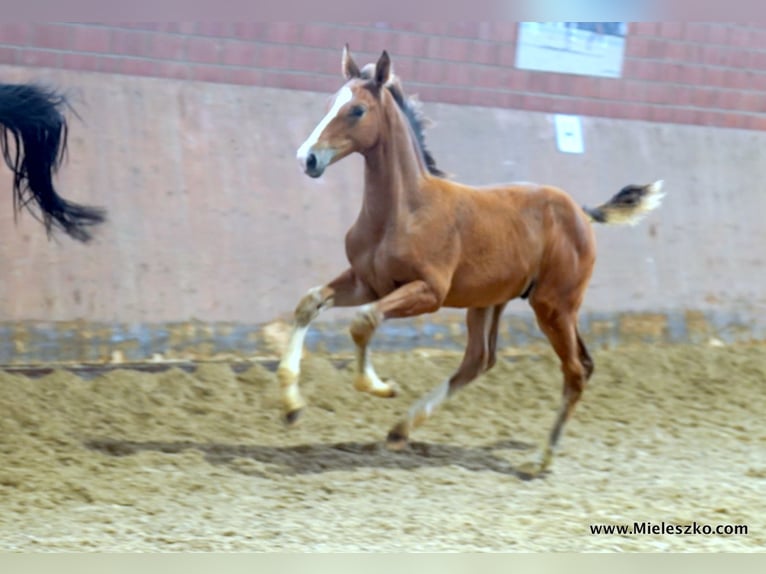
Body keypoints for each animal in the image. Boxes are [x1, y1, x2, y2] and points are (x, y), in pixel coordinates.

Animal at [278, 44, 664, 476]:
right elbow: (309, 303)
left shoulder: (428, 293)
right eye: (330, 103)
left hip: (553, 306)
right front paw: (291, 407)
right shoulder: (367, 282)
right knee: (482, 359)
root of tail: (581, 211)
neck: (403, 210)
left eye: (357, 110)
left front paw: (379, 386)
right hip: (491, 302)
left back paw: (541, 459)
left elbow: (364, 321)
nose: (307, 158)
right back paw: (399, 431)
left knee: (575, 370)